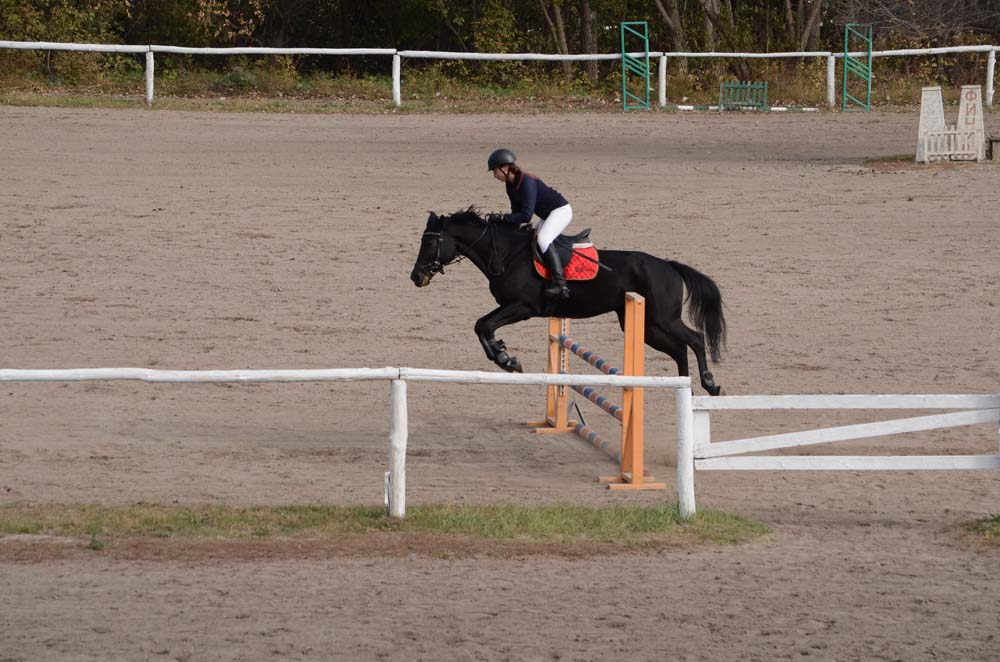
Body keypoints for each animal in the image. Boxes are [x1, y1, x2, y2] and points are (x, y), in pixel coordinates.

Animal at [409, 208, 727, 395]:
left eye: (429, 242)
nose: (416, 276)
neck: (507, 254)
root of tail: (669, 266)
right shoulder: (513, 307)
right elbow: (481, 326)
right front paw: (503, 355)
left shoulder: (523, 307)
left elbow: (484, 325)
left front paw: (506, 359)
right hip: (645, 326)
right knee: (679, 349)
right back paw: (685, 391)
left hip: (663, 318)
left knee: (695, 339)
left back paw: (709, 383)